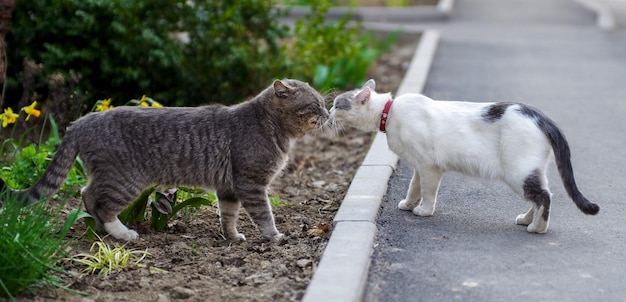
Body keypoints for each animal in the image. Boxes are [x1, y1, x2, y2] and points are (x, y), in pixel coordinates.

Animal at [0, 79, 326, 242]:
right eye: (314, 104)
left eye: (323, 103)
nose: (327, 113)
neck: (268, 124)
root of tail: (81, 121)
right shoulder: (251, 183)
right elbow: (264, 214)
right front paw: (274, 236)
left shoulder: (229, 189)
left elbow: (228, 216)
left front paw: (232, 237)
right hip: (125, 180)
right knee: (97, 200)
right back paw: (122, 233)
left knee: (87, 195)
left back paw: (103, 230)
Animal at [330, 79, 596, 232]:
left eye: (337, 104)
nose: (328, 112)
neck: (390, 112)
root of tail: (542, 117)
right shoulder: (418, 165)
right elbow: (414, 187)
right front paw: (408, 204)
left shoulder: (429, 166)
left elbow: (428, 192)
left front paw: (424, 211)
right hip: (529, 172)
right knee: (541, 196)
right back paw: (526, 220)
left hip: (517, 173)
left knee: (544, 196)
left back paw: (538, 228)